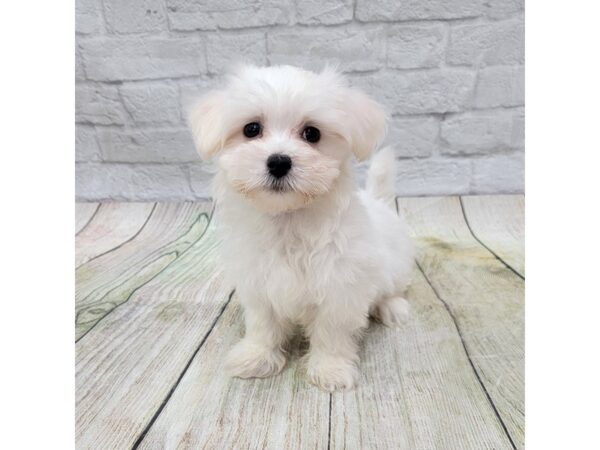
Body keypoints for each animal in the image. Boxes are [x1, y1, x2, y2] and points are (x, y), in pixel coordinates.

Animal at [190, 64, 414, 390]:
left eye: (312, 133)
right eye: (251, 129)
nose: (279, 162)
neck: (289, 219)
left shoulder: (340, 287)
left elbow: (332, 332)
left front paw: (331, 369)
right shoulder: (258, 281)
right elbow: (263, 324)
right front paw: (256, 357)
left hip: (395, 263)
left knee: (392, 288)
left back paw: (392, 307)